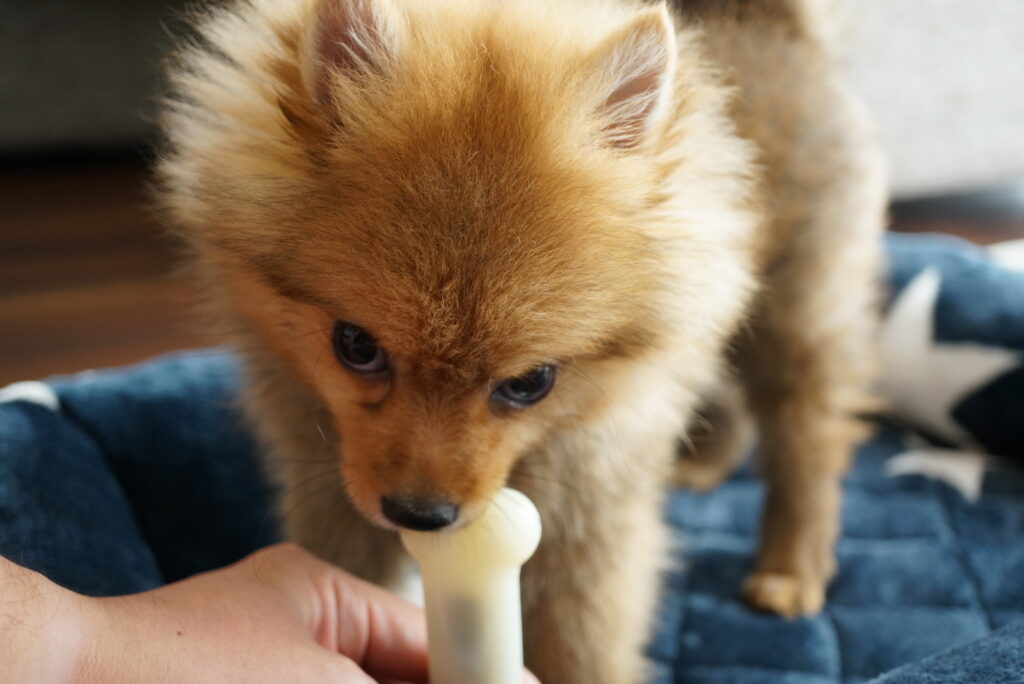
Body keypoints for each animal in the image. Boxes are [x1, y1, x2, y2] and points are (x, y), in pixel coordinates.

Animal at [155, 0, 884, 679]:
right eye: (355, 346)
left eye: (530, 383)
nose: (420, 514)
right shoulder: (332, 491)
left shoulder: (587, 526)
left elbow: (580, 647)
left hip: (796, 312)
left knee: (807, 436)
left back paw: (790, 567)